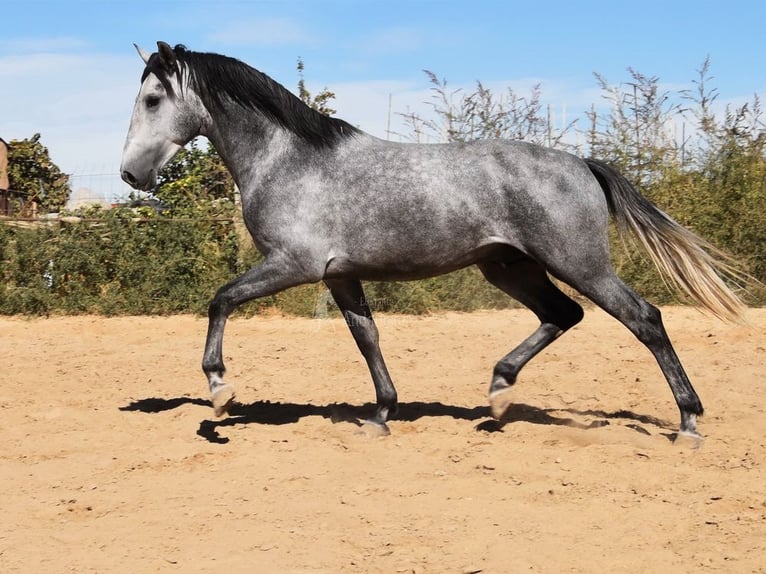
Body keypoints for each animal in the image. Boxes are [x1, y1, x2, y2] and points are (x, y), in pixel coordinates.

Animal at [121, 42, 752, 444]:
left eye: (152, 100)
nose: (130, 174)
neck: (288, 159)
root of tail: (582, 163)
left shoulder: (295, 264)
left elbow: (221, 300)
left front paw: (220, 392)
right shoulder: (339, 274)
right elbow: (368, 338)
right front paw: (381, 414)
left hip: (579, 263)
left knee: (644, 318)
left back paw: (688, 423)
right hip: (510, 267)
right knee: (562, 314)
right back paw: (498, 393)